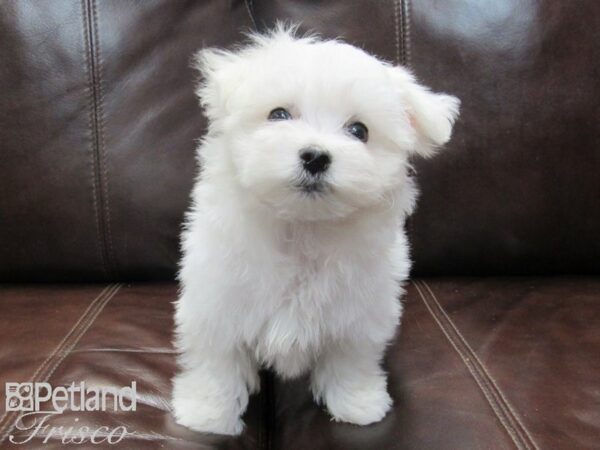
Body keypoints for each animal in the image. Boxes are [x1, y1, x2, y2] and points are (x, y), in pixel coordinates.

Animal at [171, 26, 462, 434]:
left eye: (359, 130)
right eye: (278, 114)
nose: (315, 156)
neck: (302, 227)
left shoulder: (358, 314)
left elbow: (350, 360)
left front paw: (359, 404)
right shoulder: (218, 301)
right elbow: (217, 361)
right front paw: (207, 414)